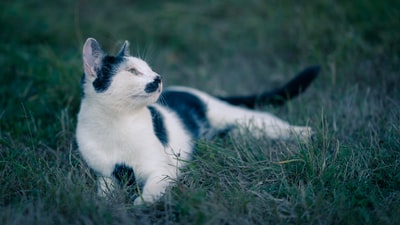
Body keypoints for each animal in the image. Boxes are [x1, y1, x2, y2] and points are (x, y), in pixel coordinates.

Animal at [76, 37, 320, 205]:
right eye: (133, 71)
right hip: (239, 130)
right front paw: (104, 205)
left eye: (149, 68)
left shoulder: (161, 170)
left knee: (271, 121)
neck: (117, 124)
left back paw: (306, 133)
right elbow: (105, 193)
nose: (158, 78)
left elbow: (150, 193)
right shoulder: (106, 175)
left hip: (242, 119)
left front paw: (140, 204)